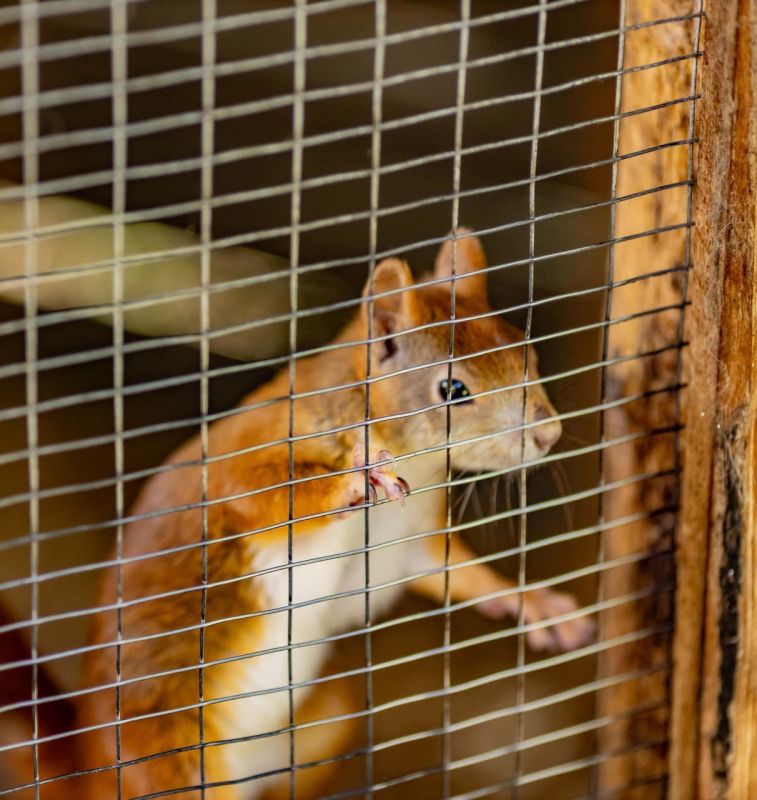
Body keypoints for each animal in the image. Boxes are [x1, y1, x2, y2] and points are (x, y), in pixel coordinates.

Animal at [1, 229, 594, 799]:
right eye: (452, 389)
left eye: (526, 354)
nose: (550, 434)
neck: (413, 458)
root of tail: (85, 770)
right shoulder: (258, 447)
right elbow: (256, 492)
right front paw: (356, 478)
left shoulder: (407, 540)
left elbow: (453, 570)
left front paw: (532, 602)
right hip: (166, 767)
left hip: (327, 720)